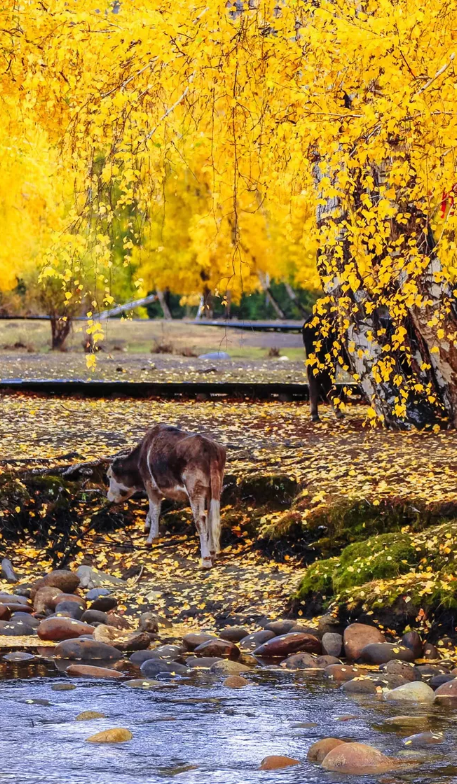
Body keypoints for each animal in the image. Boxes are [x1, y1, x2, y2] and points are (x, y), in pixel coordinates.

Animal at [105, 426, 226, 568]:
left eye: (109, 476)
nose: (108, 497)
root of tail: (208, 446)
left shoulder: (150, 485)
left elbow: (154, 511)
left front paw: (151, 539)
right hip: (215, 488)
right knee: (212, 515)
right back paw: (213, 552)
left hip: (195, 488)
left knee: (200, 519)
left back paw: (206, 559)